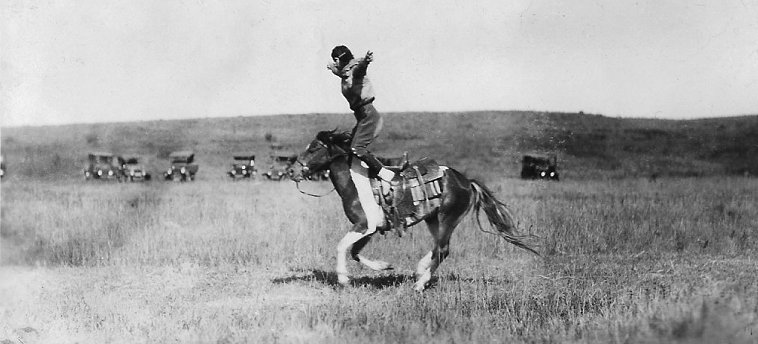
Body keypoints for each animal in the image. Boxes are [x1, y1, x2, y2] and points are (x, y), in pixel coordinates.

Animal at [290, 130, 540, 292]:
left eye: (314, 148)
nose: (292, 171)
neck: (358, 182)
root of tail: (466, 181)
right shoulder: (369, 228)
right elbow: (355, 252)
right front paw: (384, 266)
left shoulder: (363, 225)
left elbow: (342, 246)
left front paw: (343, 279)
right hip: (432, 220)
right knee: (437, 247)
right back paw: (420, 271)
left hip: (447, 218)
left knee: (443, 250)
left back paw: (420, 284)